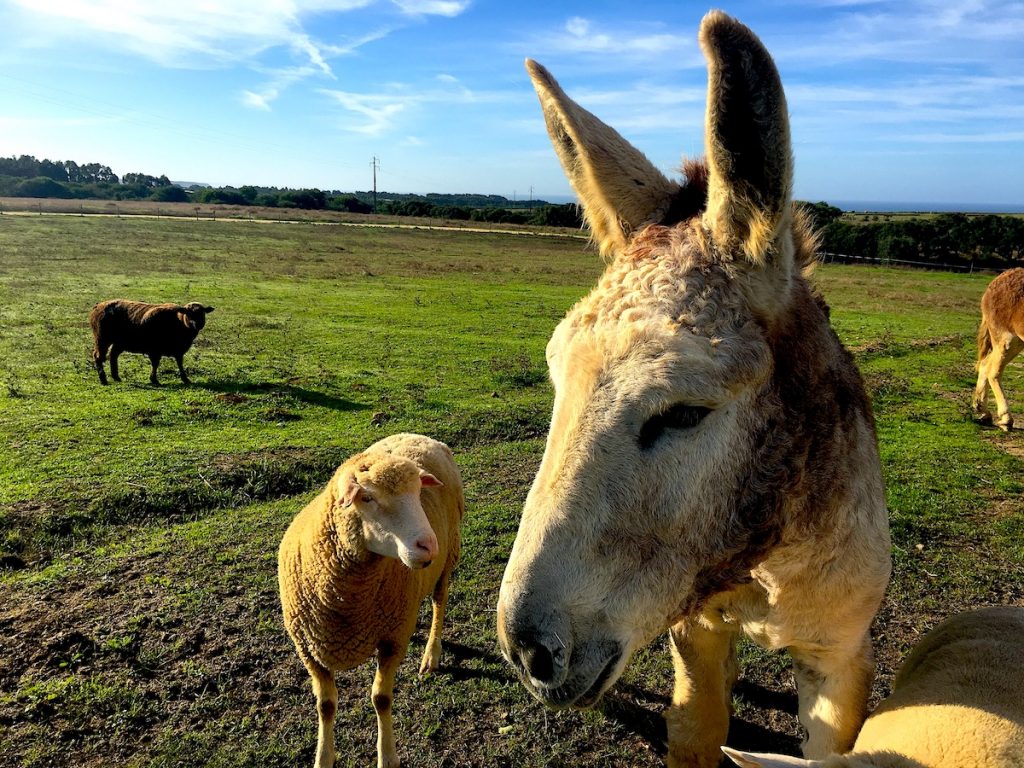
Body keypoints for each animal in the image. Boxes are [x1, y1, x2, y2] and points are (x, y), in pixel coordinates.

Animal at [274, 434, 462, 768]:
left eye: (418, 492)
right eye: (368, 498)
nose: (428, 546)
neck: (346, 598)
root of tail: (418, 435)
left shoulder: (392, 640)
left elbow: (381, 699)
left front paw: (387, 756)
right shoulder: (308, 648)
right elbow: (325, 705)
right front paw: (323, 757)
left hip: (448, 560)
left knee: (439, 603)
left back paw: (432, 653)